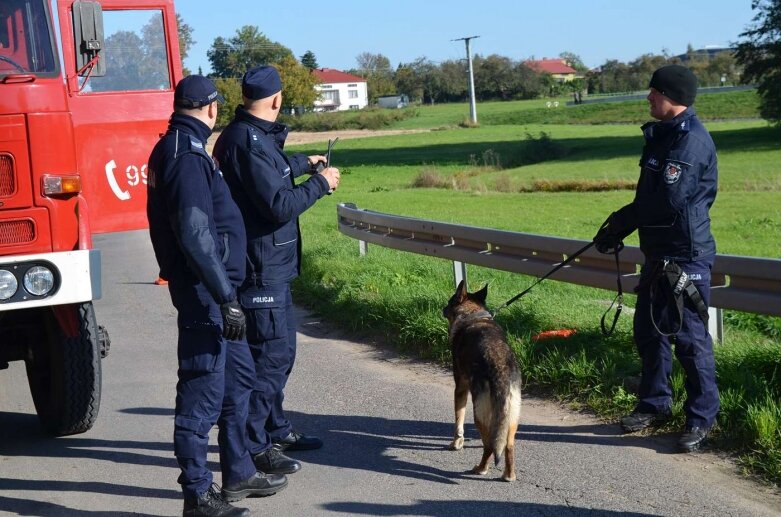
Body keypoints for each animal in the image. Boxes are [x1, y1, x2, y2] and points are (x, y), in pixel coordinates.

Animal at [442, 280, 520, 482]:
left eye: (450, 301)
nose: (442, 308)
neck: (473, 315)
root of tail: (500, 369)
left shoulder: (460, 388)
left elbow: (458, 421)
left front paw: (456, 443)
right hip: (510, 416)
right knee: (508, 446)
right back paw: (509, 475)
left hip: (480, 414)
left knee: (490, 446)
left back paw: (481, 468)